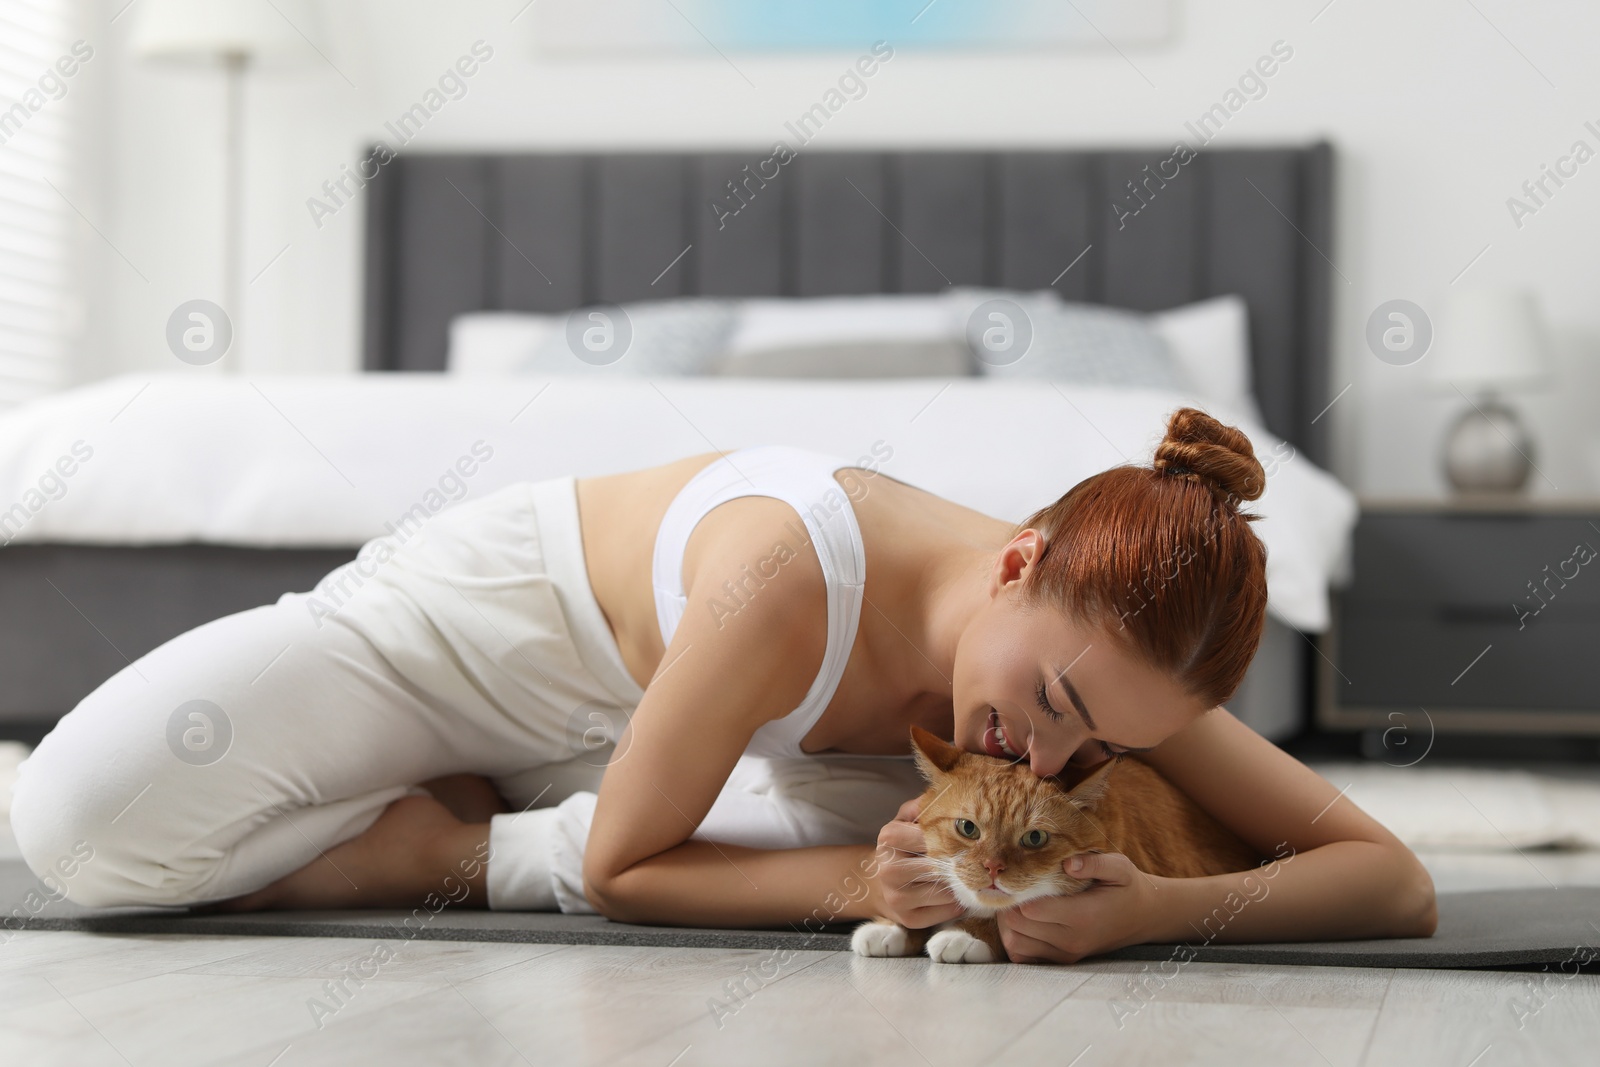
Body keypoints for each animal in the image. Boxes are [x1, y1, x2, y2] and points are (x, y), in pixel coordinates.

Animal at [857, 726, 1254, 966]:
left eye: (1035, 838)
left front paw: (965, 935)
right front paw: (892, 927)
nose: (993, 868)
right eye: (967, 828)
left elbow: (998, 917)